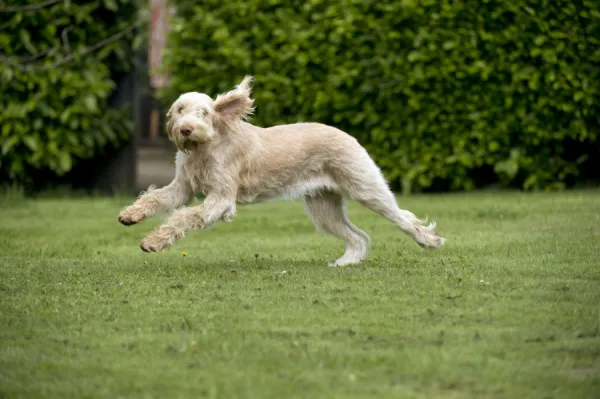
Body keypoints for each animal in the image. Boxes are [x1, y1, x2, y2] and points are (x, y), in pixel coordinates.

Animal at [118, 76, 446, 268]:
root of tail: (345, 134)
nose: (186, 129)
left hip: (367, 189)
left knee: (402, 217)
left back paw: (428, 241)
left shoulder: (221, 199)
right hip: (323, 209)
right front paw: (130, 215)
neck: (205, 147)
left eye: (205, 113)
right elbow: (156, 199)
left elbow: (183, 217)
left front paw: (153, 242)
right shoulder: (183, 188)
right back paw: (346, 263)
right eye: (179, 110)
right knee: (359, 237)